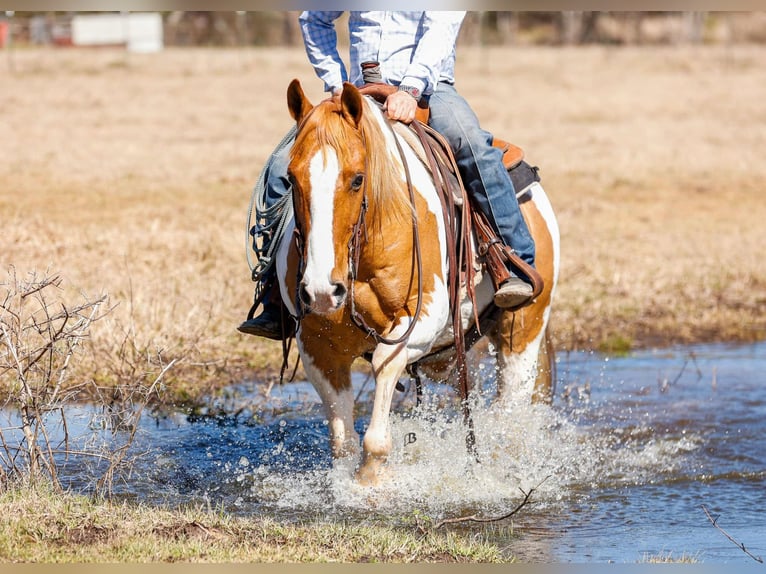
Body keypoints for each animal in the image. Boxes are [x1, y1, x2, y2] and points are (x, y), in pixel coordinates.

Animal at [276, 80, 564, 486]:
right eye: (292, 177)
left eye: (358, 178)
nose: (321, 291)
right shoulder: (318, 346)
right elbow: (342, 442)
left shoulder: (421, 320)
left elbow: (384, 366)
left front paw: (372, 475)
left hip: (523, 331)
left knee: (510, 415)